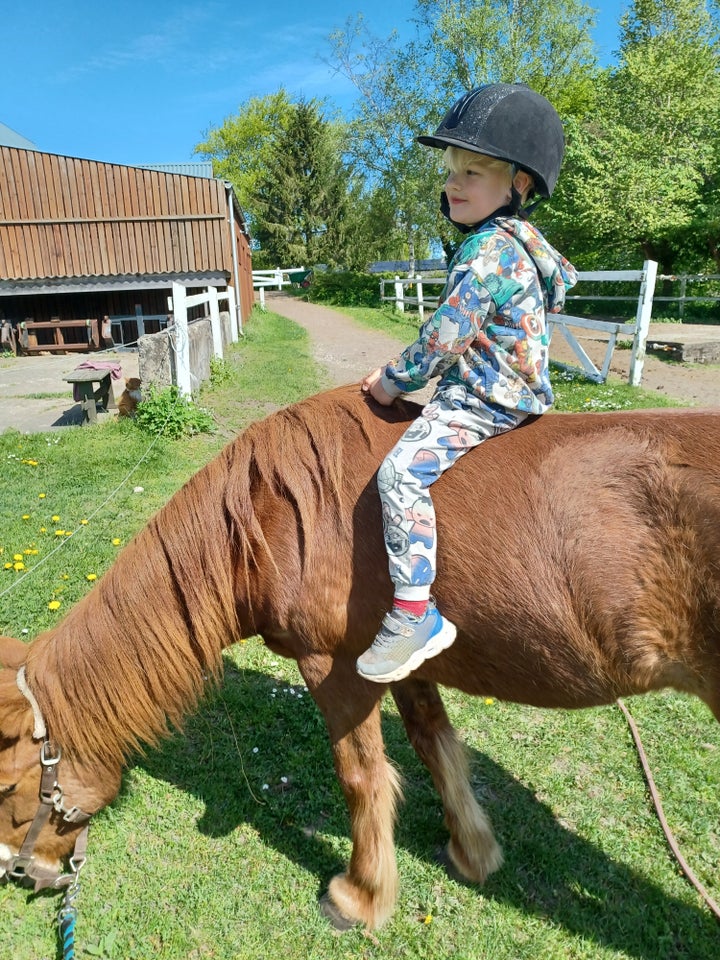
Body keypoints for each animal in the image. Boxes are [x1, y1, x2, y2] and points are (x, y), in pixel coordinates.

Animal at [1, 384, 720, 928]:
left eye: (10, 785)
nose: (24, 872)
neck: (270, 517)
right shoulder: (402, 663)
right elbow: (434, 743)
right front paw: (472, 850)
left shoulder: (333, 667)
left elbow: (362, 777)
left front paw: (361, 895)